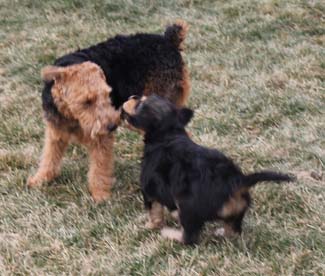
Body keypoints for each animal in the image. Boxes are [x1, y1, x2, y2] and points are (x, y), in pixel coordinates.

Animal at [28, 21, 190, 202]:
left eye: (107, 94)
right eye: (87, 101)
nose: (112, 126)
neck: (70, 114)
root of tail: (168, 40)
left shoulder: (101, 139)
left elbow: (99, 168)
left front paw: (100, 196)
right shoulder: (55, 131)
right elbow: (49, 157)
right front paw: (39, 180)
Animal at [121, 96, 294, 245]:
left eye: (140, 104)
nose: (133, 96)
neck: (168, 134)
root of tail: (238, 180)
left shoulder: (149, 190)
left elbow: (154, 212)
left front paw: (149, 226)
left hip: (187, 207)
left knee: (189, 237)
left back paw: (170, 234)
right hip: (237, 211)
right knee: (234, 230)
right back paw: (221, 233)